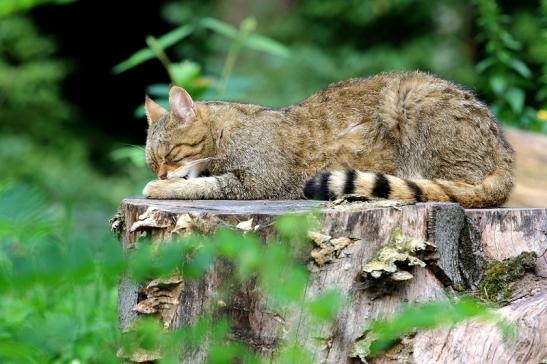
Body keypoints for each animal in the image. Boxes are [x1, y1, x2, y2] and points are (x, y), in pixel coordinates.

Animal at [141, 70, 512, 208]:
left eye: (170, 154)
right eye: (152, 162)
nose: (160, 173)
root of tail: (503, 147)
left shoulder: (259, 183)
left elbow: (201, 185)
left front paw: (159, 188)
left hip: (410, 98)